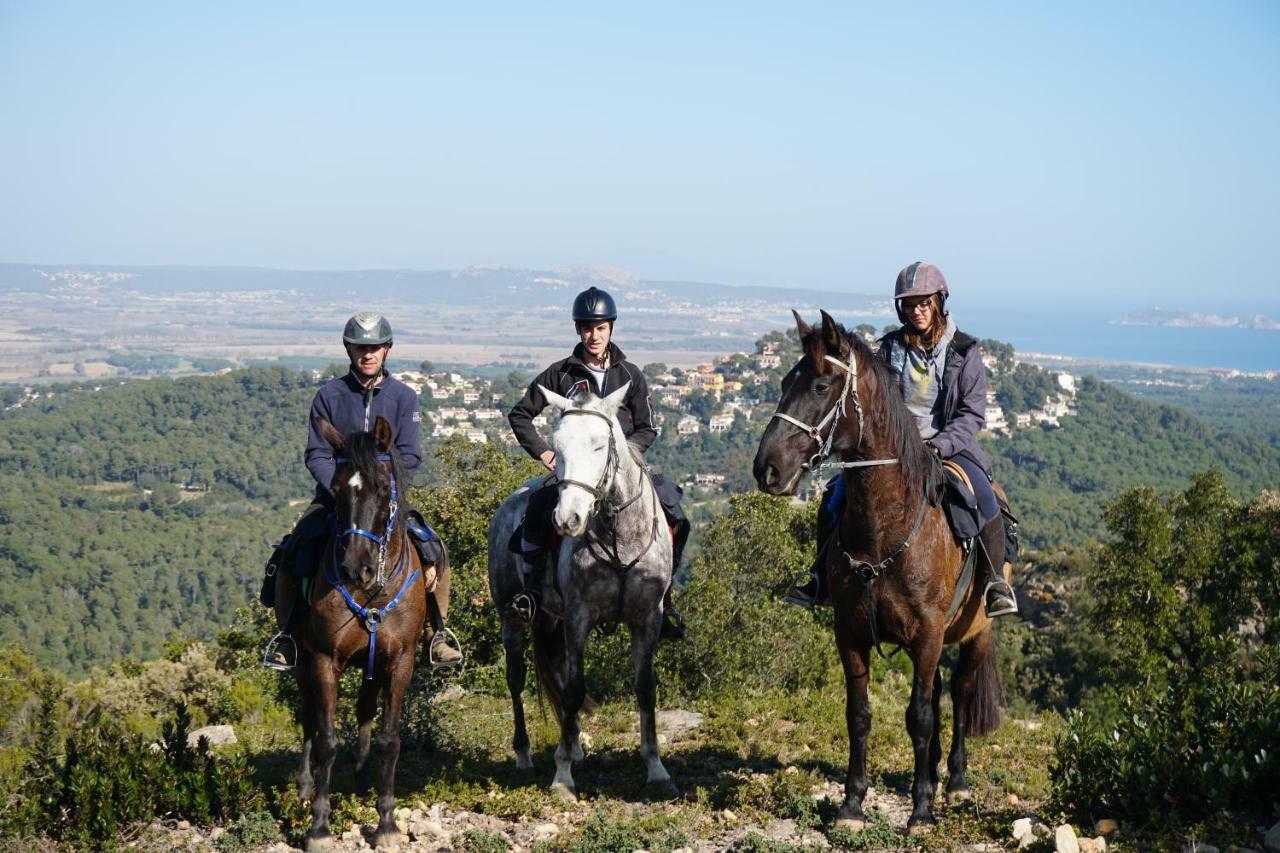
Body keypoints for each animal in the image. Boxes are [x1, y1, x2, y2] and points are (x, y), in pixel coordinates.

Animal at [275, 412, 440, 845]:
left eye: (383, 487)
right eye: (335, 489)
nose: (355, 568)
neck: (372, 591)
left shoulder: (400, 662)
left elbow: (389, 740)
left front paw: (386, 823)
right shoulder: (323, 660)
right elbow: (327, 740)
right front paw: (319, 826)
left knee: (365, 709)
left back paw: (363, 776)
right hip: (302, 662)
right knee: (309, 716)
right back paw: (304, 785)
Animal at [483, 384, 680, 799]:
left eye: (598, 446)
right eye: (557, 447)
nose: (567, 519)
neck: (619, 537)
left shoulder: (647, 619)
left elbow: (645, 688)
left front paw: (656, 769)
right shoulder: (578, 617)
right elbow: (574, 690)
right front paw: (562, 777)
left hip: (550, 620)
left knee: (557, 671)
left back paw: (573, 746)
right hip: (513, 618)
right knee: (517, 678)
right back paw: (525, 755)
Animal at [747, 311, 1008, 829]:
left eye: (821, 385)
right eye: (785, 382)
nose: (767, 469)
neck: (886, 529)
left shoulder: (928, 633)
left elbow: (921, 717)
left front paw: (922, 809)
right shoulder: (850, 631)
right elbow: (860, 714)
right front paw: (852, 804)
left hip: (976, 632)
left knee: (961, 694)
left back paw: (956, 782)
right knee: (939, 692)